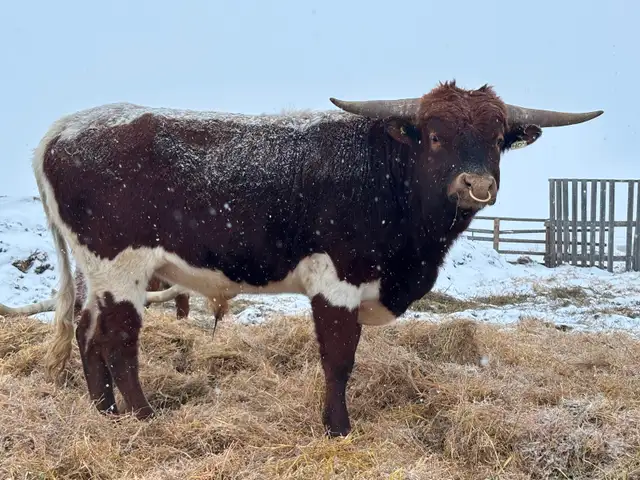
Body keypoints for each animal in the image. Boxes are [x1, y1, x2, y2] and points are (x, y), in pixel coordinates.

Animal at [29, 80, 602, 437]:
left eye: (498, 139)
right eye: (437, 135)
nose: (476, 185)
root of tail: (64, 128)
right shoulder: (337, 280)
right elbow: (339, 357)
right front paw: (337, 427)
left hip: (95, 271)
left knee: (87, 332)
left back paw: (105, 413)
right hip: (121, 266)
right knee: (119, 340)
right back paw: (144, 417)